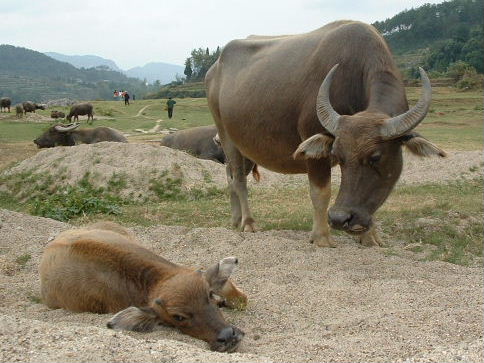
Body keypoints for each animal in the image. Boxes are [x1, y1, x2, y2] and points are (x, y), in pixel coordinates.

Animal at [205, 19, 446, 247]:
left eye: (376, 157)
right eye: (338, 156)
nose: (340, 218)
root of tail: (215, 69)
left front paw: (370, 236)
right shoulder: (313, 144)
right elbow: (321, 192)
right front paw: (321, 236)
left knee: (230, 178)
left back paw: (235, 220)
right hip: (226, 137)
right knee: (238, 180)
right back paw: (248, 222)